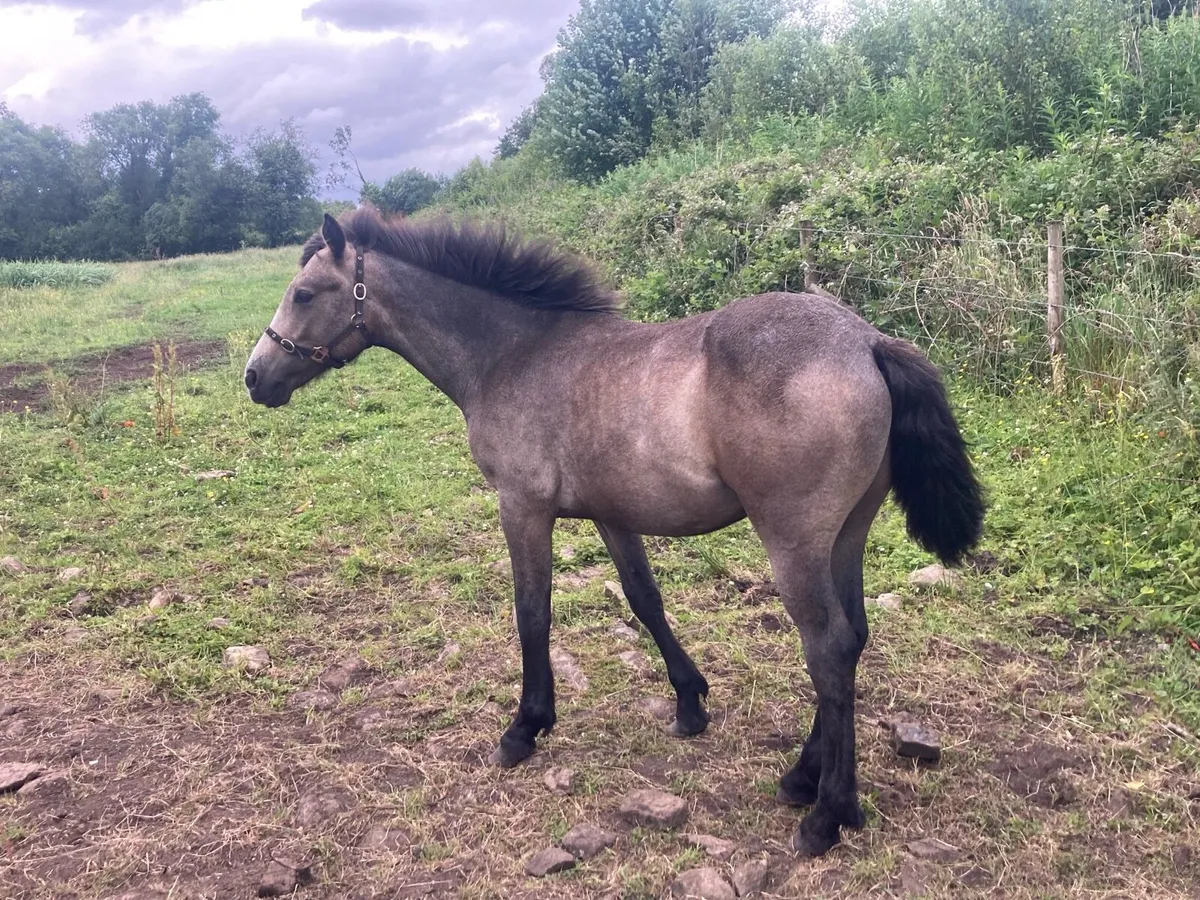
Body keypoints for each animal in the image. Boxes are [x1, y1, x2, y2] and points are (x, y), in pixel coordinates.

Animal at [244, 208, 984, 856]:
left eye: (304, 292)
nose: (255, 378)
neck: (512, 355)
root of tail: (867, 341)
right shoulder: (610, 512)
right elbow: (643, 598)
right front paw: (689, 703)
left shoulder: (522, 507)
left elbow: (532, 613)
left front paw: (525, 727)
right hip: (845, 537)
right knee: (851, 638)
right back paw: (805, 778)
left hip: (794, 542)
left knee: (827, 650)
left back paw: (828, 815)